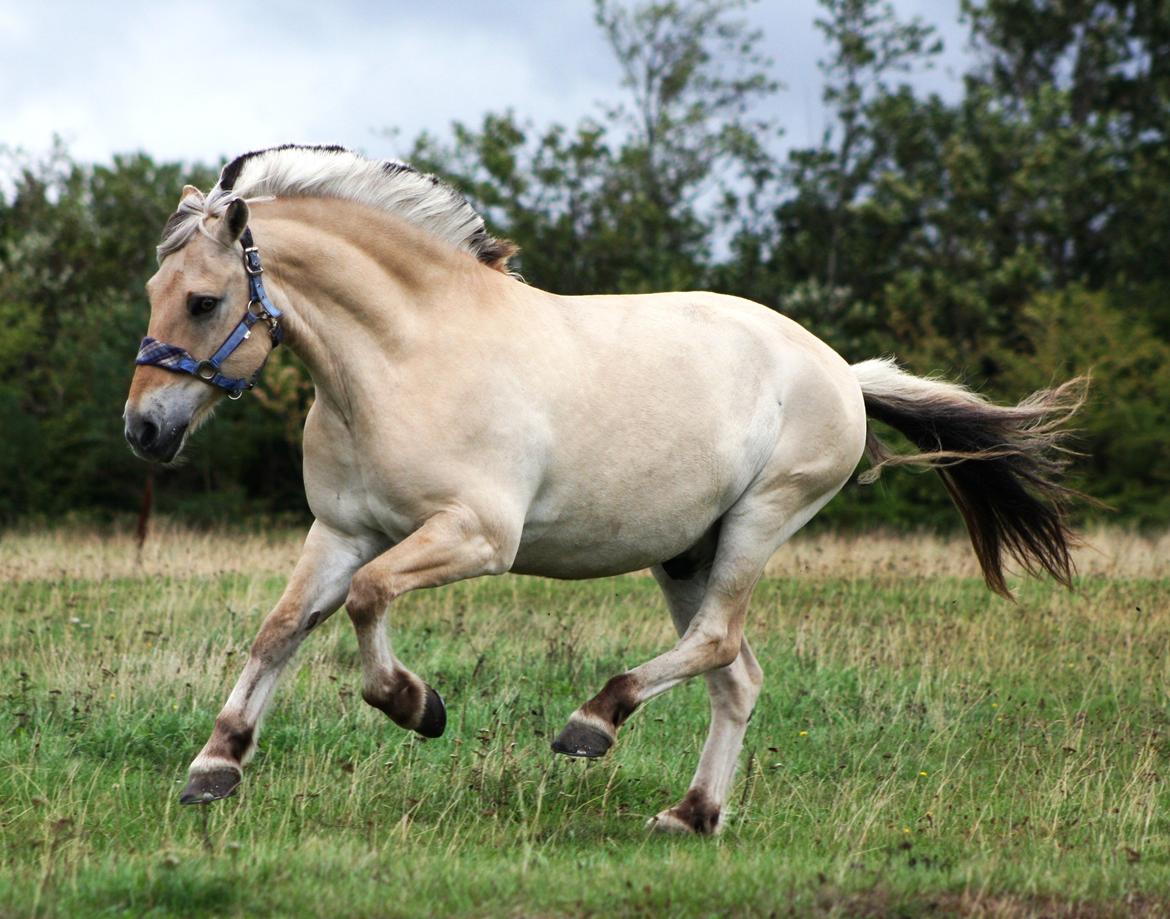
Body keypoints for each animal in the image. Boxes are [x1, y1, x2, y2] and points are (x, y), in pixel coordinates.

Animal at [123, 141, 1081, 833]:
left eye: (203, 301)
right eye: (153, 289)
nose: (144, 430)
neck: (404, 358)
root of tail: (841, 370)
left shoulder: (475, 536)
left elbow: (367, 600)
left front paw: (418, 706)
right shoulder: (341, 530)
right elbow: (282, 627)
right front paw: (215, 767)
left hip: (759, 522)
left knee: (718, 645)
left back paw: (593, 722)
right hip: (688, 550)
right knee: (736, 674)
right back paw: (691, 814)